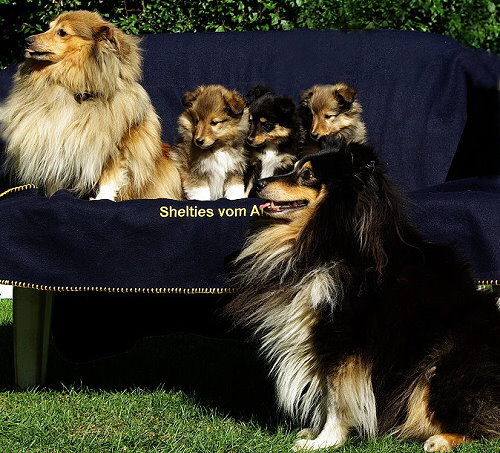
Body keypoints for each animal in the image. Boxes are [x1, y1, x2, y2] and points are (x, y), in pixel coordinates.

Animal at [0, 10, 184, 200]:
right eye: (48, 27)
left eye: (62, 32)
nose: (27, 40)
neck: (73, 89)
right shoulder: (52, 140)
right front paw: (55, 195)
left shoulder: (115, 147)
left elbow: (110, 177)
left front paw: (103, 199)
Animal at [228, 140, 500, 448]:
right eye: (294, 168)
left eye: (307, 175)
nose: (259, 184)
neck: (333, 243)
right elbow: (326, 392)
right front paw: (316, 432)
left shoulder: (344, 338)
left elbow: (335, 396)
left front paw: (324, 442)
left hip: (441, 364)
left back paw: (439, 440)